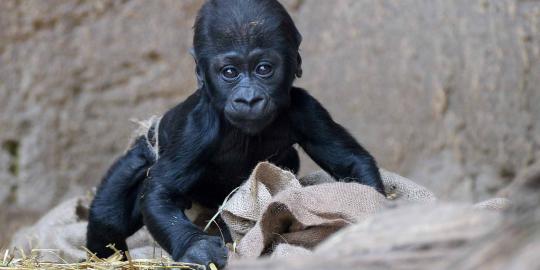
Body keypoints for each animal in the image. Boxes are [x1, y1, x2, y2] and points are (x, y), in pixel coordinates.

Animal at [86, 0, 386, 268]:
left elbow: (350, 162)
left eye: (264, 69)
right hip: (144, 149)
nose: (249, 99)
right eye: (229, 72)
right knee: (109, 213)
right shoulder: (197, 127)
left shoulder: (307, 108)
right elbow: (161, 193)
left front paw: (373, 215)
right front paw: (197, 249)